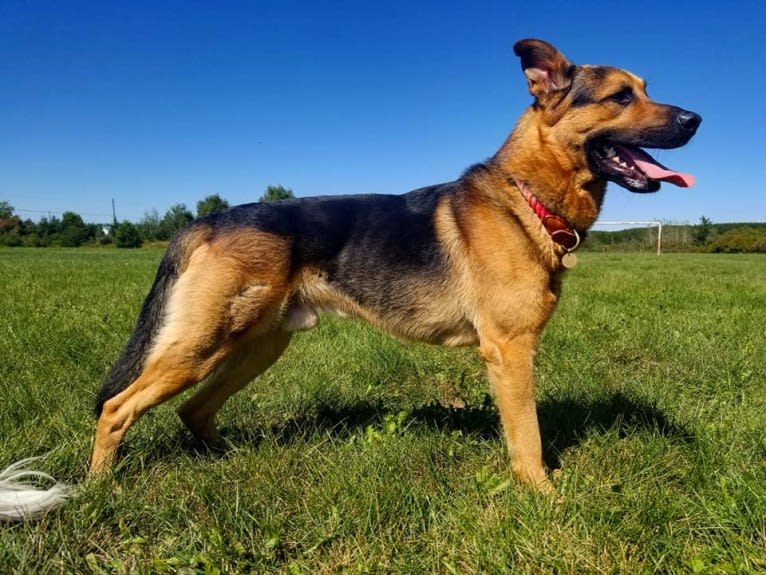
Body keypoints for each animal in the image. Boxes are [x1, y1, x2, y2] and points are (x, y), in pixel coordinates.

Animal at [3, 38, 704, 520]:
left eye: (645, 88)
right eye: (621, 96)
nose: (696, 119)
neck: (526, 194)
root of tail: (203, 219)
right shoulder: (509, 352)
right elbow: (527, 438)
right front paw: (545, 498)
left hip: (254, 346)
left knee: (193, 410)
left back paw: (227, 460)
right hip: (200, 344)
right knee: (118, 408)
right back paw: (97, 490)